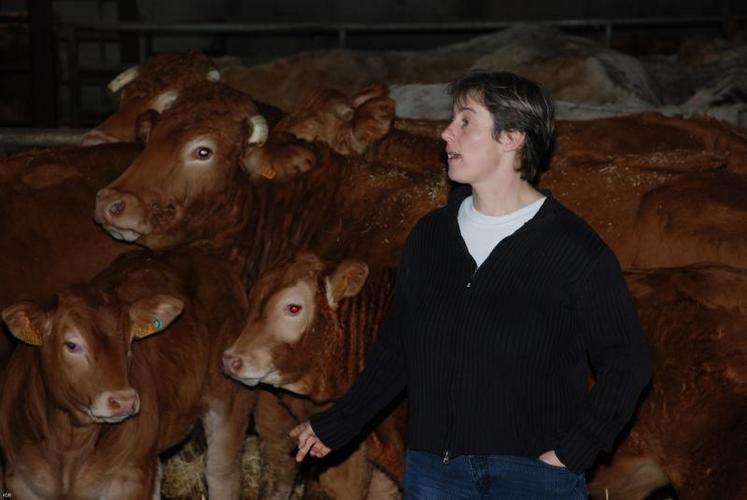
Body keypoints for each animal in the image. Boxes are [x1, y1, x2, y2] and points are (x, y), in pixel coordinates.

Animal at [0, 252, 256, 498]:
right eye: (71, 345)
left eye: (131, 340)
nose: (124, 401)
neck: (68, 443)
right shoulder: (20, 480)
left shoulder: (129, 478)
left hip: (231, 398)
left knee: (221, 474)